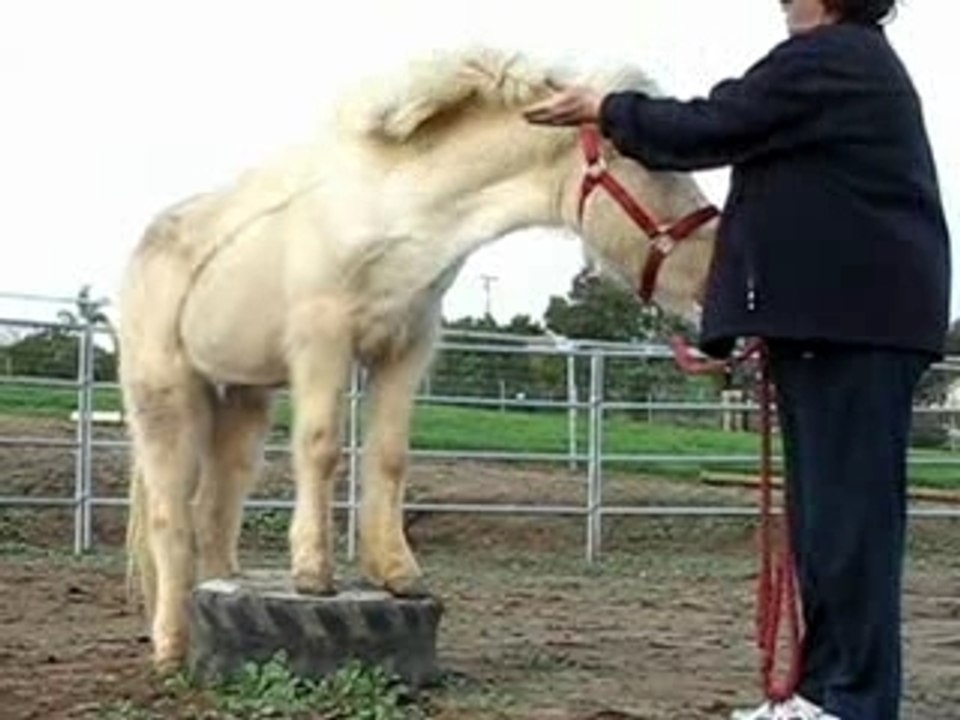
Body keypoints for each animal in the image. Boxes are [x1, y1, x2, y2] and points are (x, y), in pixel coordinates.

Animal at [118, 45, 721, 671]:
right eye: (648, 165)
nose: (711, 274)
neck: (393, 211)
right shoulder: (322, 341)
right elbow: (321, 448)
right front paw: (313, 574)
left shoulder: (407, 347)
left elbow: (388, 456)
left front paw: (397, 573)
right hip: (166, 395)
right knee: (170, 517)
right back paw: (170, 648)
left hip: (242, 398)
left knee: (215, 512)